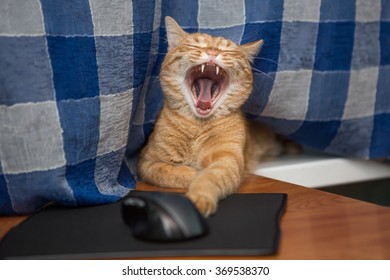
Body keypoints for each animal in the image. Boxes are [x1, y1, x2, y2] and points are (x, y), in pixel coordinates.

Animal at [137, 16, 296, 217]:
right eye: (196, 45)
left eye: (227, 50)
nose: (212, 51)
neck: (196, 127)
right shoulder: (146, 162)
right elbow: (169, 172)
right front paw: (190, 173)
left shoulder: (227, 161)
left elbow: (208, 177)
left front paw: (199, 196)